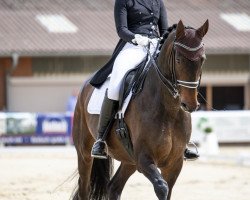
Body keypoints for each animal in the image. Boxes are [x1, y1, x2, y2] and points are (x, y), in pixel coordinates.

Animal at [72, 19, 209, 200]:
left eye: (202, 59)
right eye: (179, 59)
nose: (190, 104)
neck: (169, 110)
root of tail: (85, 86)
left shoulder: (174, 163)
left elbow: (168, 190)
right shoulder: (144, 158)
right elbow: (162, 187)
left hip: (129, 159)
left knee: (114, 186)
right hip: (85, 152)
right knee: (84, 187)